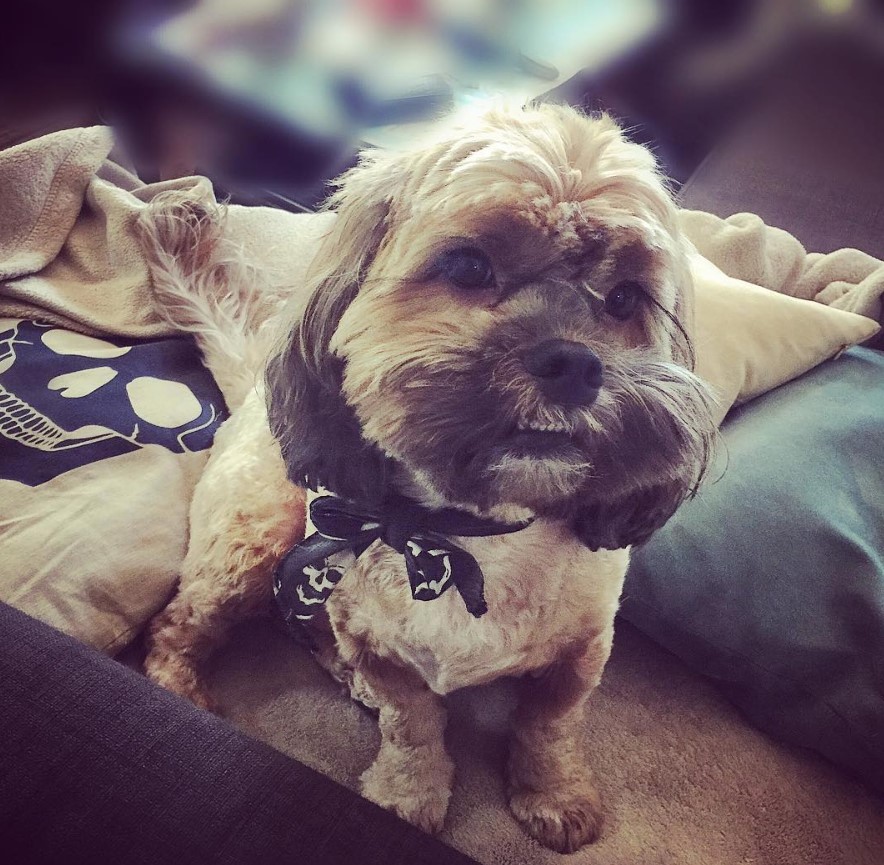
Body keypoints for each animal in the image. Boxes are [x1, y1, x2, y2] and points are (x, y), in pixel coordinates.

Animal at [140, 104, 720, 852]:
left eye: (625, 299)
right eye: (469, 265)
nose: (573, 362)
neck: (463, 534)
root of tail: (255, 393)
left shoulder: (581, 653)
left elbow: (549, 728)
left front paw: (554, 794)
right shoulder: (378, 646)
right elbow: (410, 726)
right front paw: (406, 794)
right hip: (255, 540)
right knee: (182, 623)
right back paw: (181, 686)